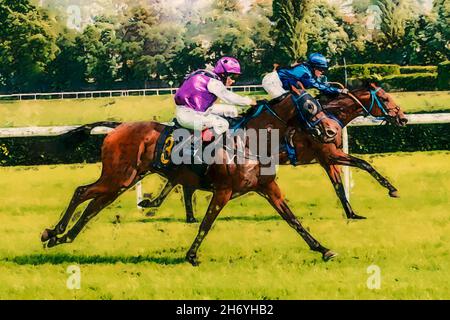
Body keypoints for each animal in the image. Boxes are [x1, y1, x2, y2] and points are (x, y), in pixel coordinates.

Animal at [43, 88, 344, 264]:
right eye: (309, 107)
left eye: (319, 103)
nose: (331, 131)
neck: (250, 142)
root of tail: (117, 127)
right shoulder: (223, 190)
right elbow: (206, 224)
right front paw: (191, 255)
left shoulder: (268, 187)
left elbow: (293, 220)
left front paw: (323, 249)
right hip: (118, 178)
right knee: (82, 192)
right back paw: (53, 232)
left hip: (122, 181)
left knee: (94, 205)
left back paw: (63, 238)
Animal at [137, 82, 408, 222]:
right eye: (385, 98)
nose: (403, 118)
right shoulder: (329, 155)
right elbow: (365, 165)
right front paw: (392, 189)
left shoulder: (326, 158)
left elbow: (339, 186)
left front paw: (352, 213)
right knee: (179, 182)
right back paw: (161, 206)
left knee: (182, 182)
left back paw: (178, 212)